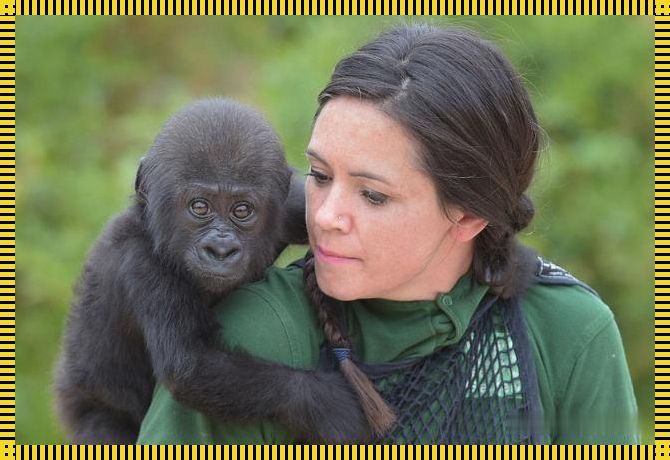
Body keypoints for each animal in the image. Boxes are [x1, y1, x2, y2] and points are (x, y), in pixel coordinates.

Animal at [54, 99, 370, 444]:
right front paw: (326, 403)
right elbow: (190, 364)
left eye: (242, 210)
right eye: (200, 207)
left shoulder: (294, 207)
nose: (220, 249)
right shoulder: (142, 265)